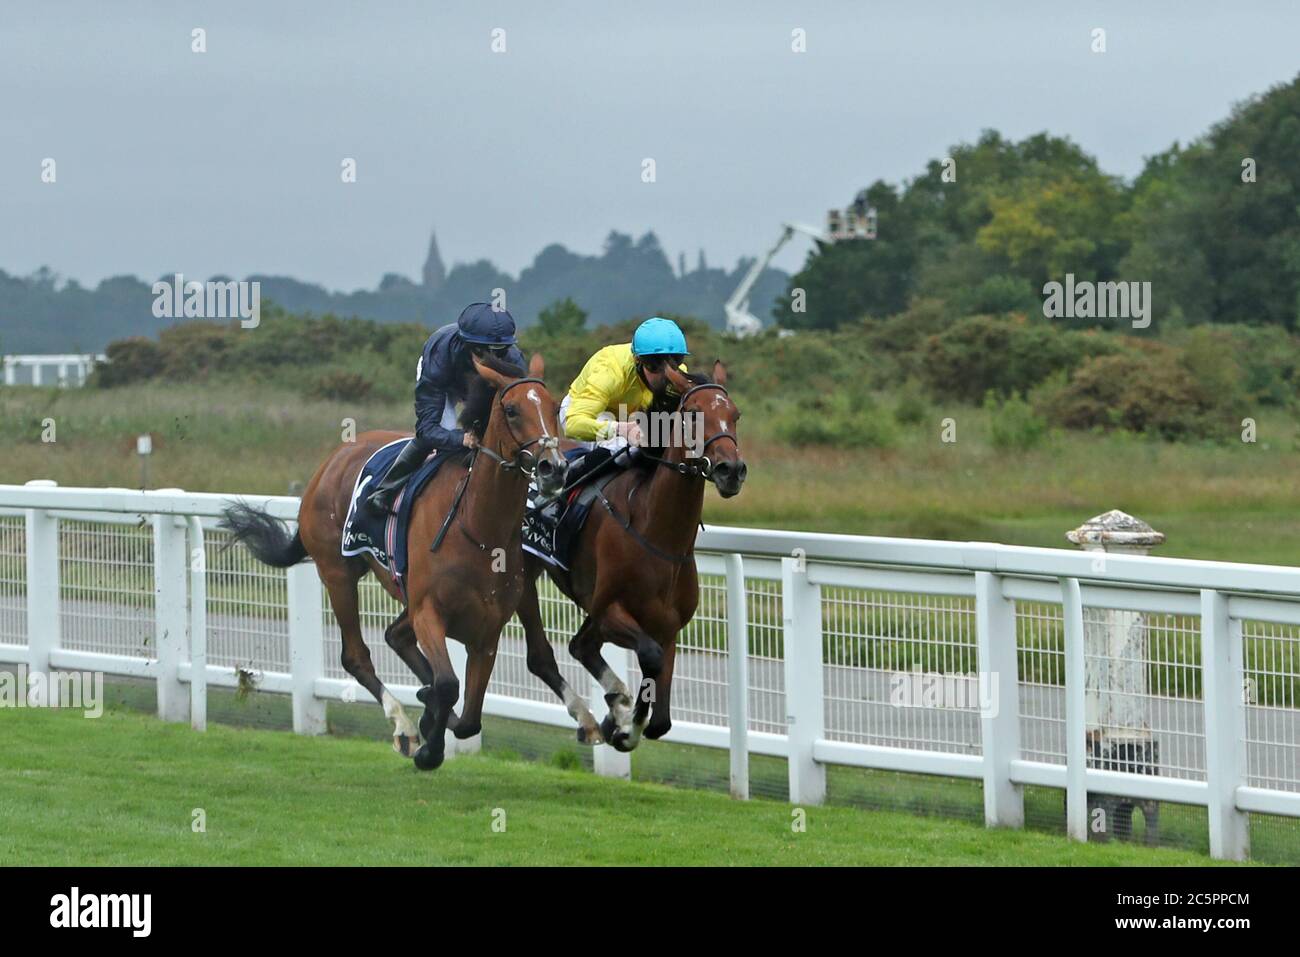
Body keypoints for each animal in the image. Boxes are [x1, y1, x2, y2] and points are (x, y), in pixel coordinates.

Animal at [218, 353, 564, 769]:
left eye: (555, 407)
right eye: (511, 410)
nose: (553, 467)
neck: (479, 529)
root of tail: (328, 464)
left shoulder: (487, 632)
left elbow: (469, 719)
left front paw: (434, 717)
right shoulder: (429, 611)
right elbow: (448, 685)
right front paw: (429, 744)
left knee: (395, 637)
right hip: (338, 574)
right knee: (357, 656)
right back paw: (404, 727)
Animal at [514, 361, 748, 748]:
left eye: (735, 414)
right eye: (693, 413)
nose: (732, 470)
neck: (658, 535)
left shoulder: (667, 627)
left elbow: (661, 719)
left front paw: (622, 720)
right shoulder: (609, 610)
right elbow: (649, 658)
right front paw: (626, 727)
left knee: (581, 646)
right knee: (545, 653)